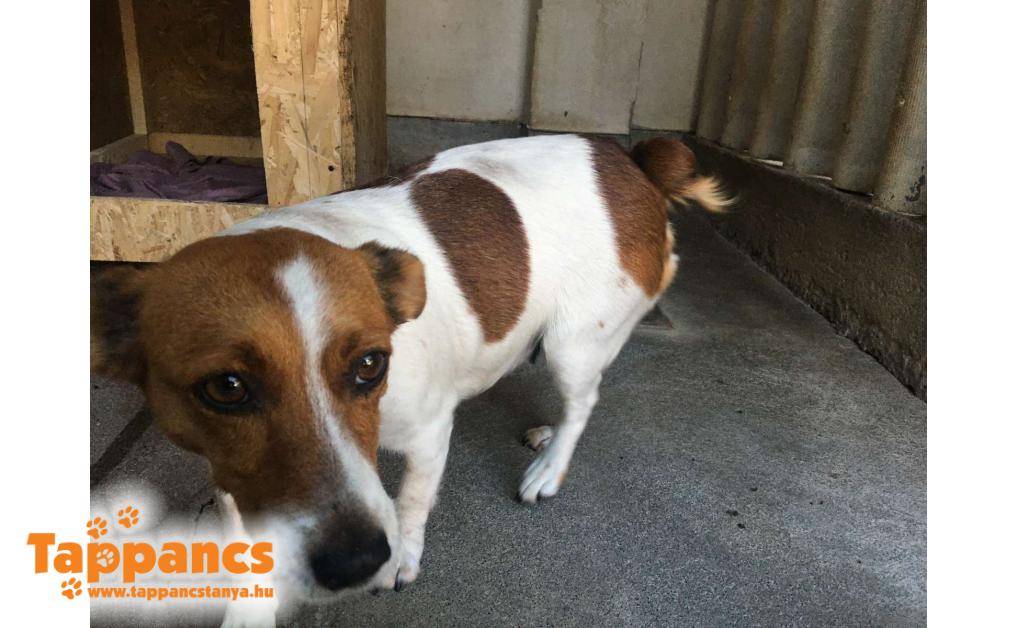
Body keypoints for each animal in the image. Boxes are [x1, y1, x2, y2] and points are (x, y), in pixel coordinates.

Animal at [91, 134, 730, 624]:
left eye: (370, 365)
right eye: (225, 388)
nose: (353, 564)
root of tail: (630, 160)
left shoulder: (429, 432)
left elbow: (413, 500)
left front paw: (401, 559)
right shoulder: (229, 473)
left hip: (573, 345)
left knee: (584, 401)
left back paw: (551, 465)